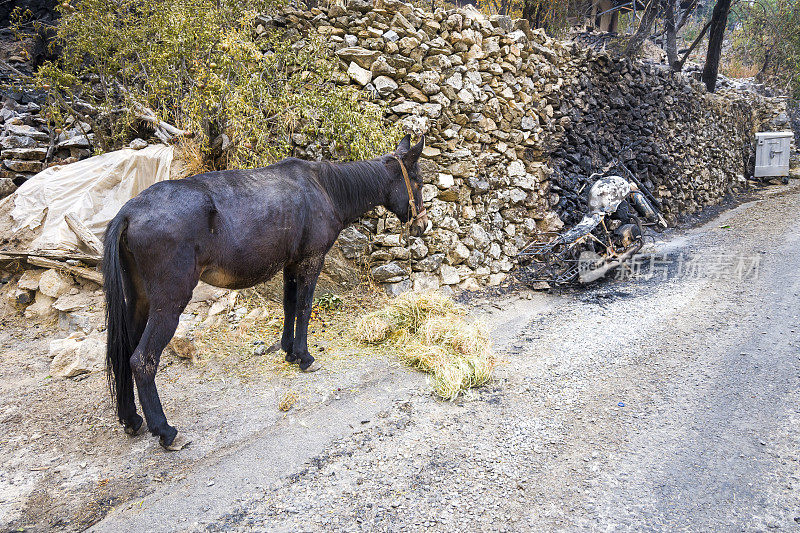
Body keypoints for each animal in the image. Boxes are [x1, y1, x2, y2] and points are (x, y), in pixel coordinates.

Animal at [106, 135, 432, 446]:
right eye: (418, 182)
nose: (423, 226)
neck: (325, 188)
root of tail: (128, 213)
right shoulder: (312, 259)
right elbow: (304, 306)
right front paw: (304, 357)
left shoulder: (292, 262)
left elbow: (289, 305)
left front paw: (288, 351)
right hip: (169, 302)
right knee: (142, 360)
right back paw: (165, 431)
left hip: (140, 299)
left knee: (124, 352)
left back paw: (131, 419)